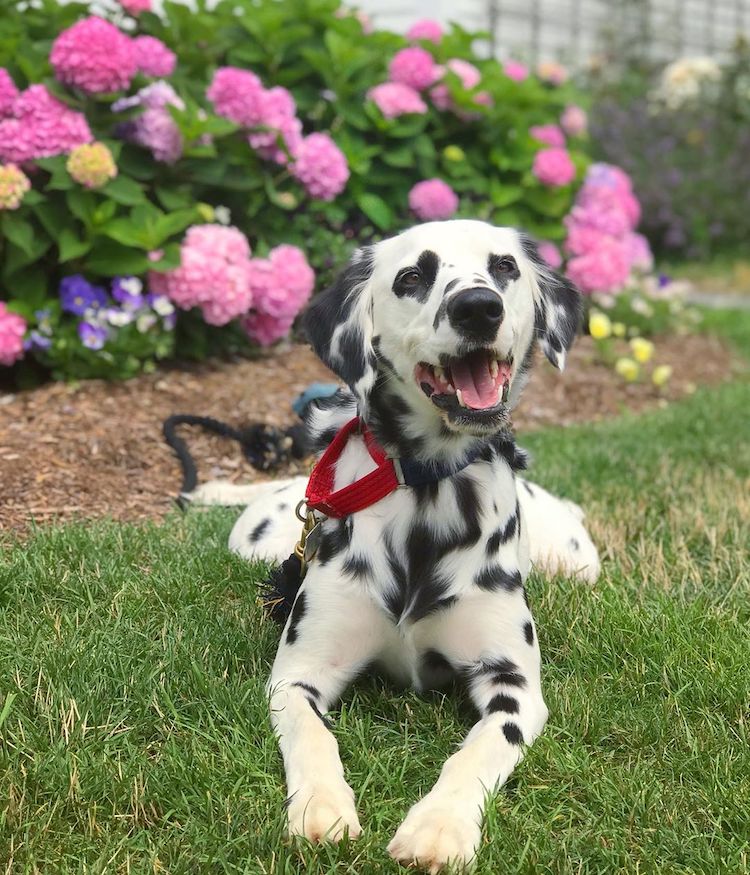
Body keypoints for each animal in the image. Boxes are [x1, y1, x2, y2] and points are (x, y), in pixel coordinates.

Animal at [191, 222, 604, 872]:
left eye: (505, 267)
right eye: (412, 276)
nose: (478, 307)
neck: (425, 497)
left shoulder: (515, 688)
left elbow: (480, 747)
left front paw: (439, 827)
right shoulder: (296, 677)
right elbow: (311, 734)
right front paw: (321, 806)